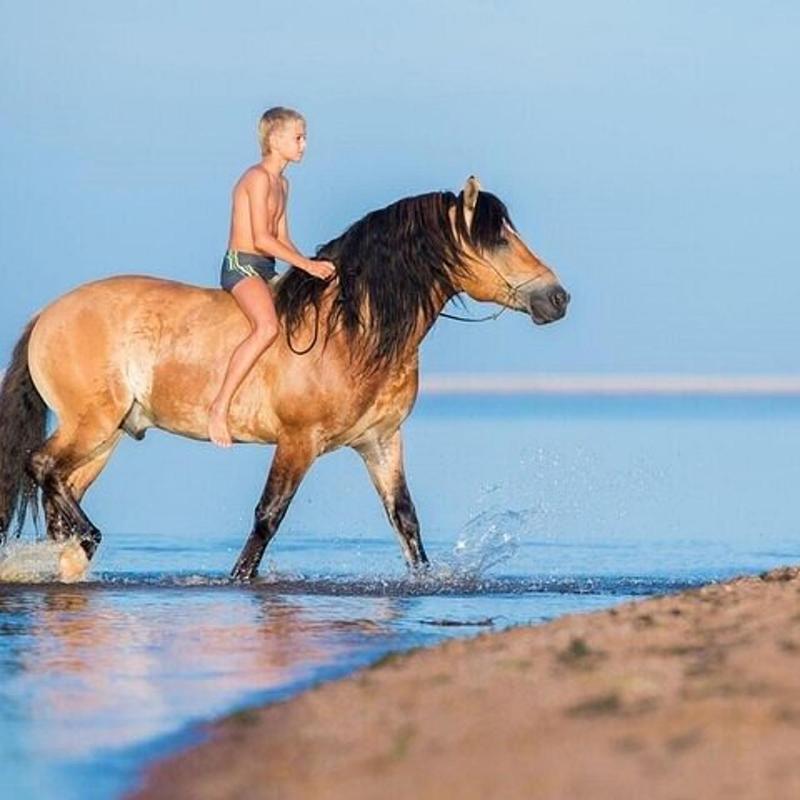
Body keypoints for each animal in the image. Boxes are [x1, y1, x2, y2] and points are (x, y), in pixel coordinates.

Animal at [0, 176, 570, 581]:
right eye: (498, 242)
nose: (557, 298)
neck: (352, 330)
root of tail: (48, 315)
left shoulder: (381, 442)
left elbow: (405, 519)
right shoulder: (298, 442)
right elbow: (267, 516)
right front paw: (236, 580)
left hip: (106, 438)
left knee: (57, 486)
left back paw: (69, 556)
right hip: (92, 425)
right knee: (42, 466)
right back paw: (85, 541)